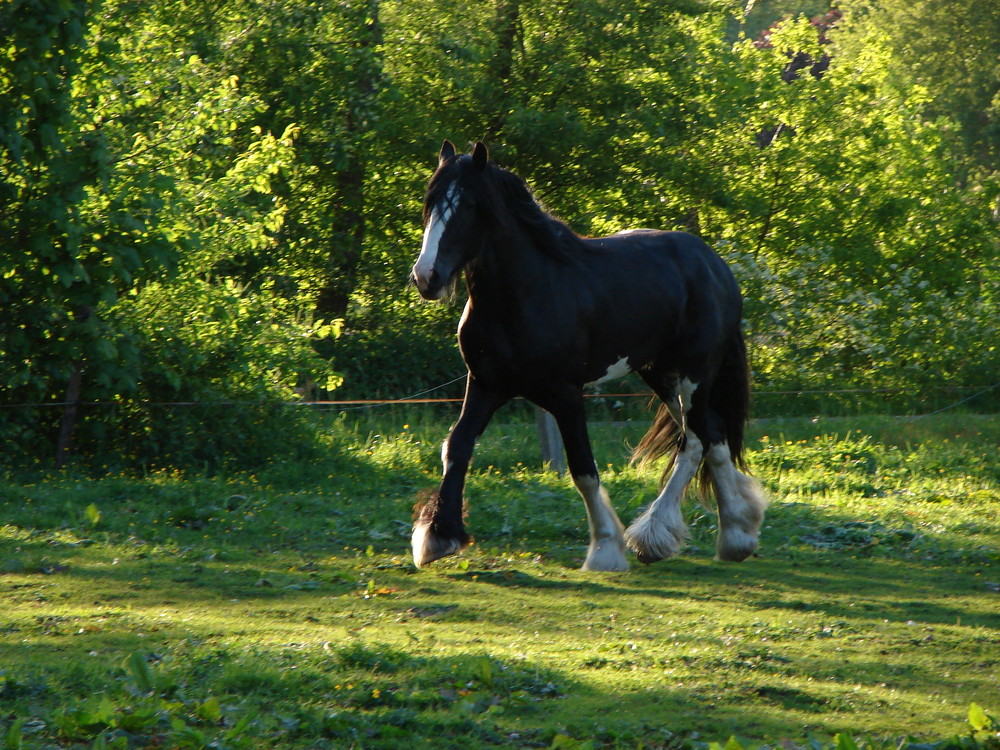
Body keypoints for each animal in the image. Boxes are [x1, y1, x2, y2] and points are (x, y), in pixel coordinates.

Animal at [408, 141, 764, 572]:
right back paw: (733, 533)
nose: (427, 277)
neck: (525, 295)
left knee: (695, 439)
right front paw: (438, 536)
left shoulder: (566, 394)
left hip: (695, 373)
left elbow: (583, 468)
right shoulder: (486, 384)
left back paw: (670, 536)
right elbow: (456, 447)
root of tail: (715, 264)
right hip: (659, 373)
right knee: (711, 436)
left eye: (471, 205)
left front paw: (605, 549)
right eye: (429, 202)